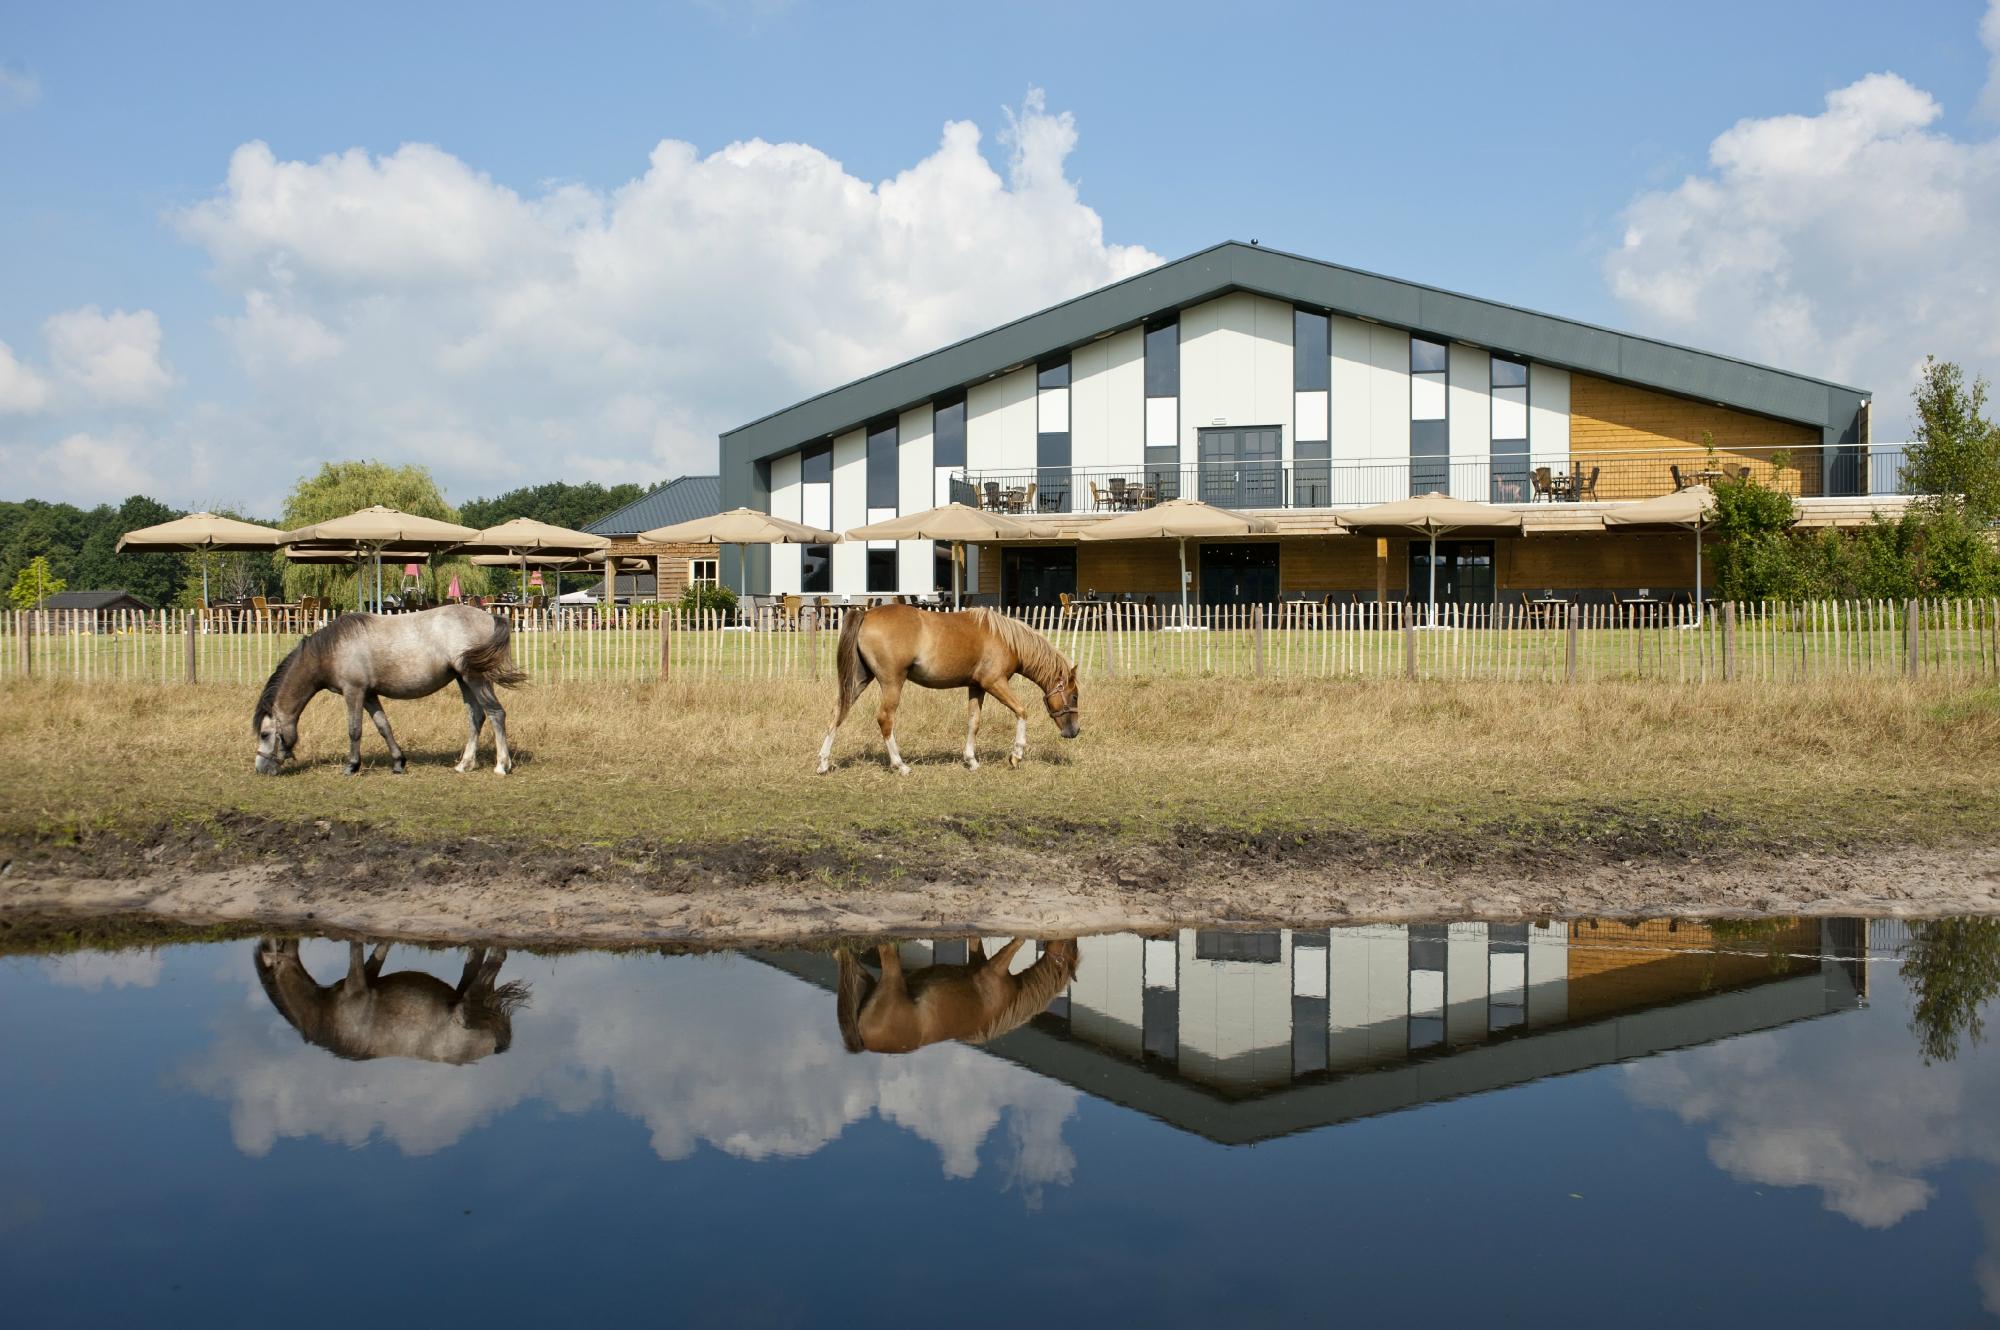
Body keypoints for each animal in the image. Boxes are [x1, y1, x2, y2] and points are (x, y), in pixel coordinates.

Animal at [250, 596, 528, 772]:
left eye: (264, 734)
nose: (260, 768)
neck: (331, 650)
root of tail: (490, 617)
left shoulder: (353, 692)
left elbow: (355, 729)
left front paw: (352, 766)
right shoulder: (369, 694)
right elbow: (384, 726)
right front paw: (398, 762)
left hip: (475, 678)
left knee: (495, 713)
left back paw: (502, 765)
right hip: (464, 679)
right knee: (476, 716)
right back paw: (465, 764)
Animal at [258, 940, 532, 1064]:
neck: (323, 1016)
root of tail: (497, 1046)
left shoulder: (358, 985)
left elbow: (356, 949)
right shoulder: (368, 978)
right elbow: (379, 951)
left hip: (465, 1008)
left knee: (498, 956)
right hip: (466, 996)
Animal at [816, 604, 1080, 772]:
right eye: (1075, 696)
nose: (1074, 732)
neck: (1004, 639)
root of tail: (866, 613)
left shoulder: (976, 687)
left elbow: (974, 722)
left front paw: (971, 760)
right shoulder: (994, 682)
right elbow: (1022, 711)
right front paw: (1016, 756)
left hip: (858, 680)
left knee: (837, 714)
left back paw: (823, 763)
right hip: (892, 683)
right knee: (885, 719)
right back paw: (900, 765)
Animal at [832, 940, 1080, 1056]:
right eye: (1072, 948)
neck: (1013, 999)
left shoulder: (978, 959)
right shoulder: (993, 967)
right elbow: (1016, 943)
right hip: (892, 974)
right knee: (886, 947)